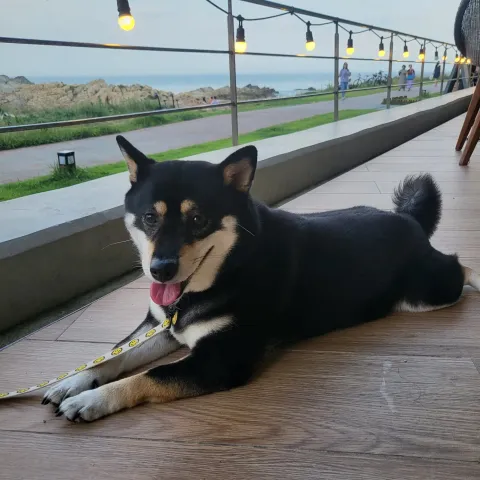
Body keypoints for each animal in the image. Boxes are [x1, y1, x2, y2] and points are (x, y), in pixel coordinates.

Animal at [43, 136, 480, 422]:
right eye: (150, 217)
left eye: (198, 219)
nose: (160, 269)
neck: (230, 267)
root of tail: (408, 220)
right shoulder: (162, 326)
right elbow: (117, 355)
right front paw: (75, 381)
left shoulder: (223, 359)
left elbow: (150, 375)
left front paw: (94, 399)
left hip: (430, 290)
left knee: (461, 268)